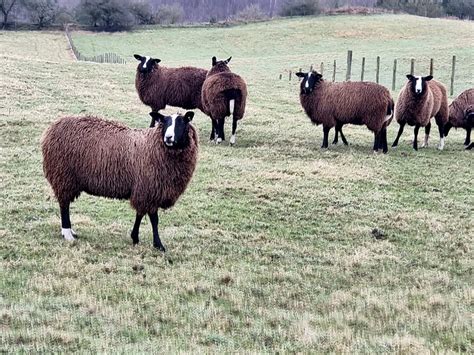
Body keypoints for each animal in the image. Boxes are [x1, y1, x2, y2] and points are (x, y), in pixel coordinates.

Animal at [39, 112, 198, 252]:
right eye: (164, 122)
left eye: (182, 122)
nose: (168, 137)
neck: (154, 145)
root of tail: (51, 129)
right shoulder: (149, 189)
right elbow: (154, 219)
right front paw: (158, 245)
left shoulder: (143, 189)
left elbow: (140, 214)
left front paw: (135, 237)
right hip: (63, 176)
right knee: (64, 205)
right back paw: (67, 233)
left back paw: (70, 231)